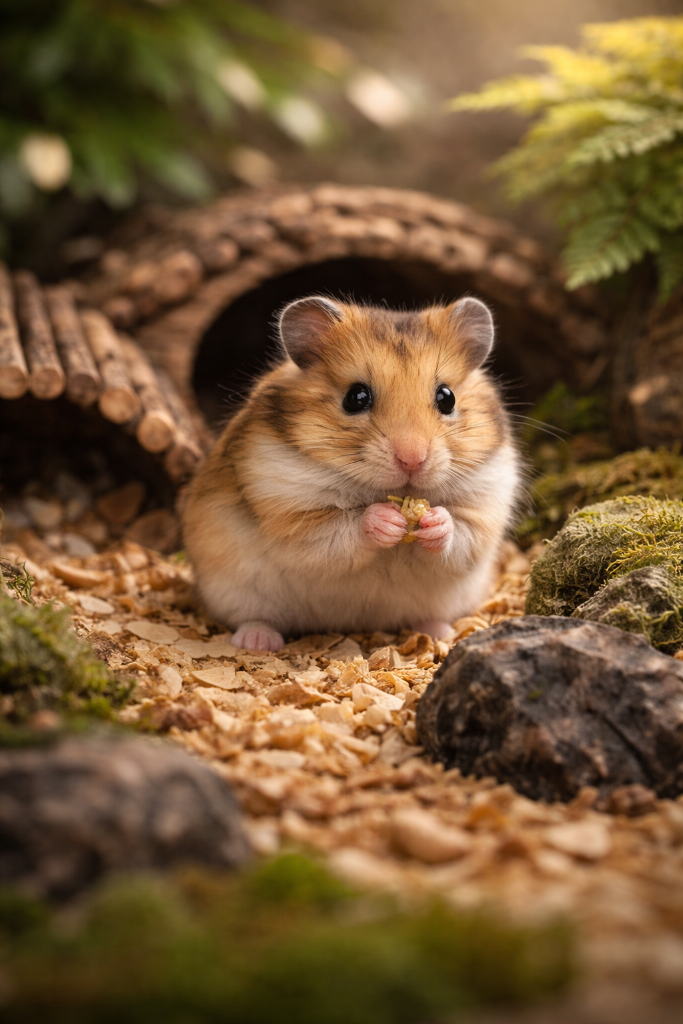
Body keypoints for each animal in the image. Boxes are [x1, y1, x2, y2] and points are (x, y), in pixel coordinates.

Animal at [182, 295, 520, 651]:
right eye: (356, 397)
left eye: (447, 397)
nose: (412, 460)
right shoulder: (293, 517)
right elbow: (345, 528)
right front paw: (386, 520)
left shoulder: (485, 508)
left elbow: (460, 532)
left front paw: (433, 521)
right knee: (254, 618)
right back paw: (258, 641)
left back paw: (438, 632)